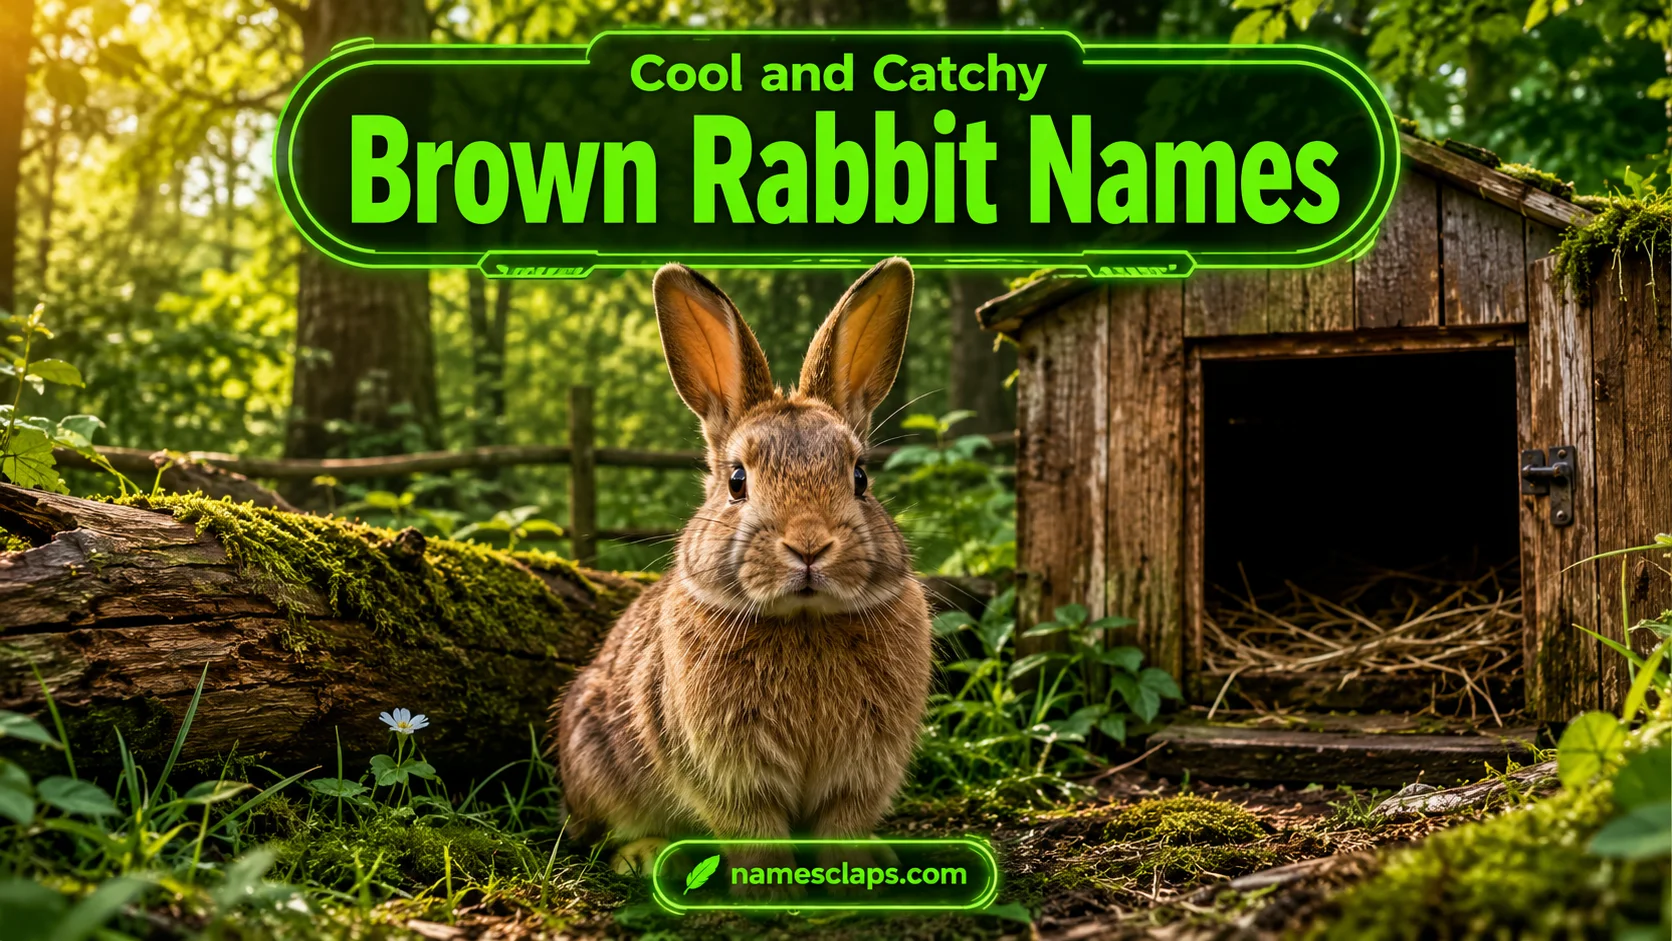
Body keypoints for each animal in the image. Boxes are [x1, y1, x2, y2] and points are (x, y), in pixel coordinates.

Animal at [553, 258, 932, 876]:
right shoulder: (732, 774)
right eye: (737, 481)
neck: (804, 621)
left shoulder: (860, 774)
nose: (809, 545)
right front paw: (771, 889)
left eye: (860, 477)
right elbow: (755, 833)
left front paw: (853, 877)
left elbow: (841, 827)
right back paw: (646, 857)